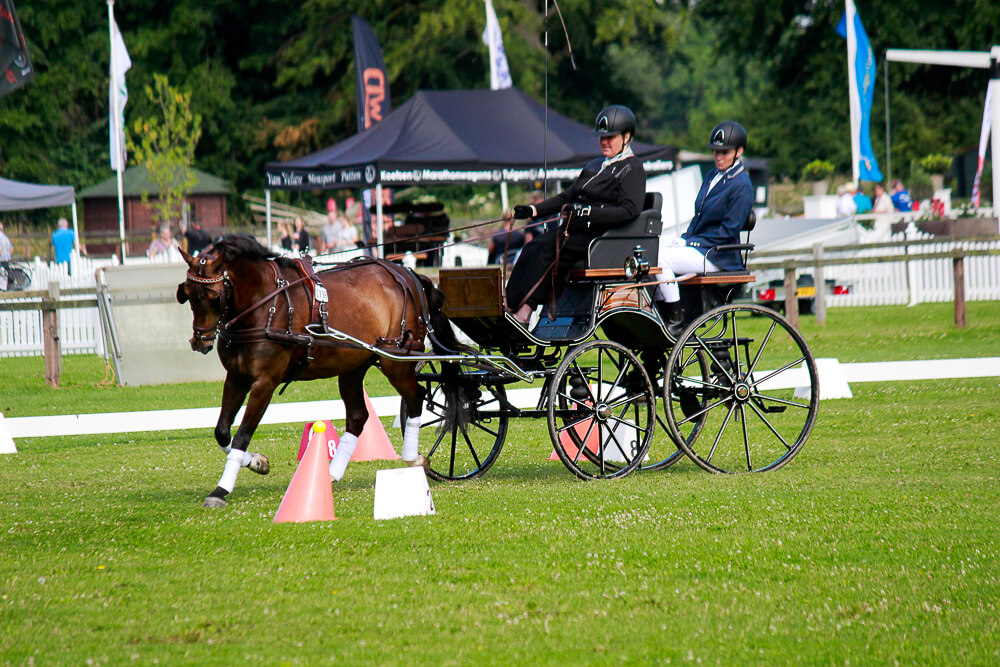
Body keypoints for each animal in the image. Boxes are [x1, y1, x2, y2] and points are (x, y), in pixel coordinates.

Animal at [178, 234, 462, 506]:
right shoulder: (236, 377)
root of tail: (408, 274)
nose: (200, 342)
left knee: (415, 399)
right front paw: (258, 462)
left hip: (397, 361)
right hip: (353, 367)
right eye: (188, 294)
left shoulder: (264, 382)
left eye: (215, 297)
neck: (265, 303)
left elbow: (242, 434)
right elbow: (222, 431)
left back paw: (414, 459)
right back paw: (329, 475)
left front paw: (221, 490)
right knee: (358, 416)